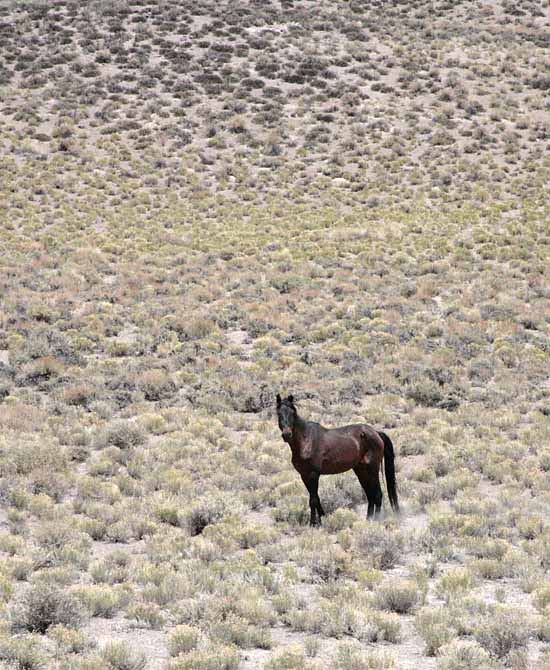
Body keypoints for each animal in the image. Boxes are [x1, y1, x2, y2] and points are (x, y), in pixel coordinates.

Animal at [276, 396, 402, 528]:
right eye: (279, 413)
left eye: (292, 413)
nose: (286, 434)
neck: (306, 440)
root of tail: (376, 432)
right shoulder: (304, 475)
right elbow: (315, 499)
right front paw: (319, 520)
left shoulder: (313, 475)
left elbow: (313, 500)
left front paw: (314, 524)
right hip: (361, 470)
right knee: (370, 495)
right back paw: (368, 519)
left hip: (372, 469)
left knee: (377, 494)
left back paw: (375, 521)